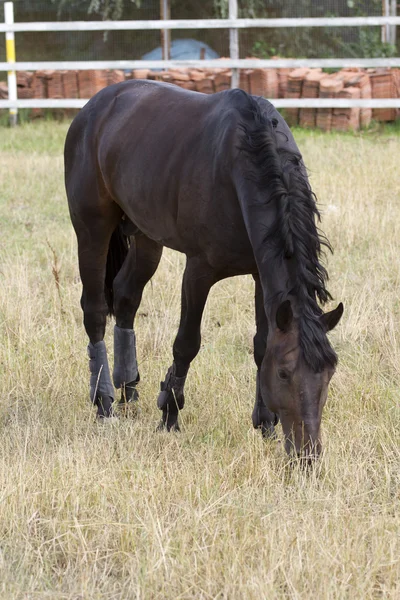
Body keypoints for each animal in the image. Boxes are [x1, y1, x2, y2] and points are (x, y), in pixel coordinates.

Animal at [64, 79, 342, 460]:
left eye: (328, 374)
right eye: (285, 374)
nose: (307, 455)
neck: (243, 159)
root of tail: (94, 107)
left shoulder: (261, 275)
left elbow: (261, 344)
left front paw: (265, 424)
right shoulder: (199, 271)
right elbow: (186, 343)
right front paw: (169, 413)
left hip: (146, 236)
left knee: (125, 298)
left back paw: (128, 391)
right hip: (92, 228)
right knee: (94, 310)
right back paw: (105, 402)